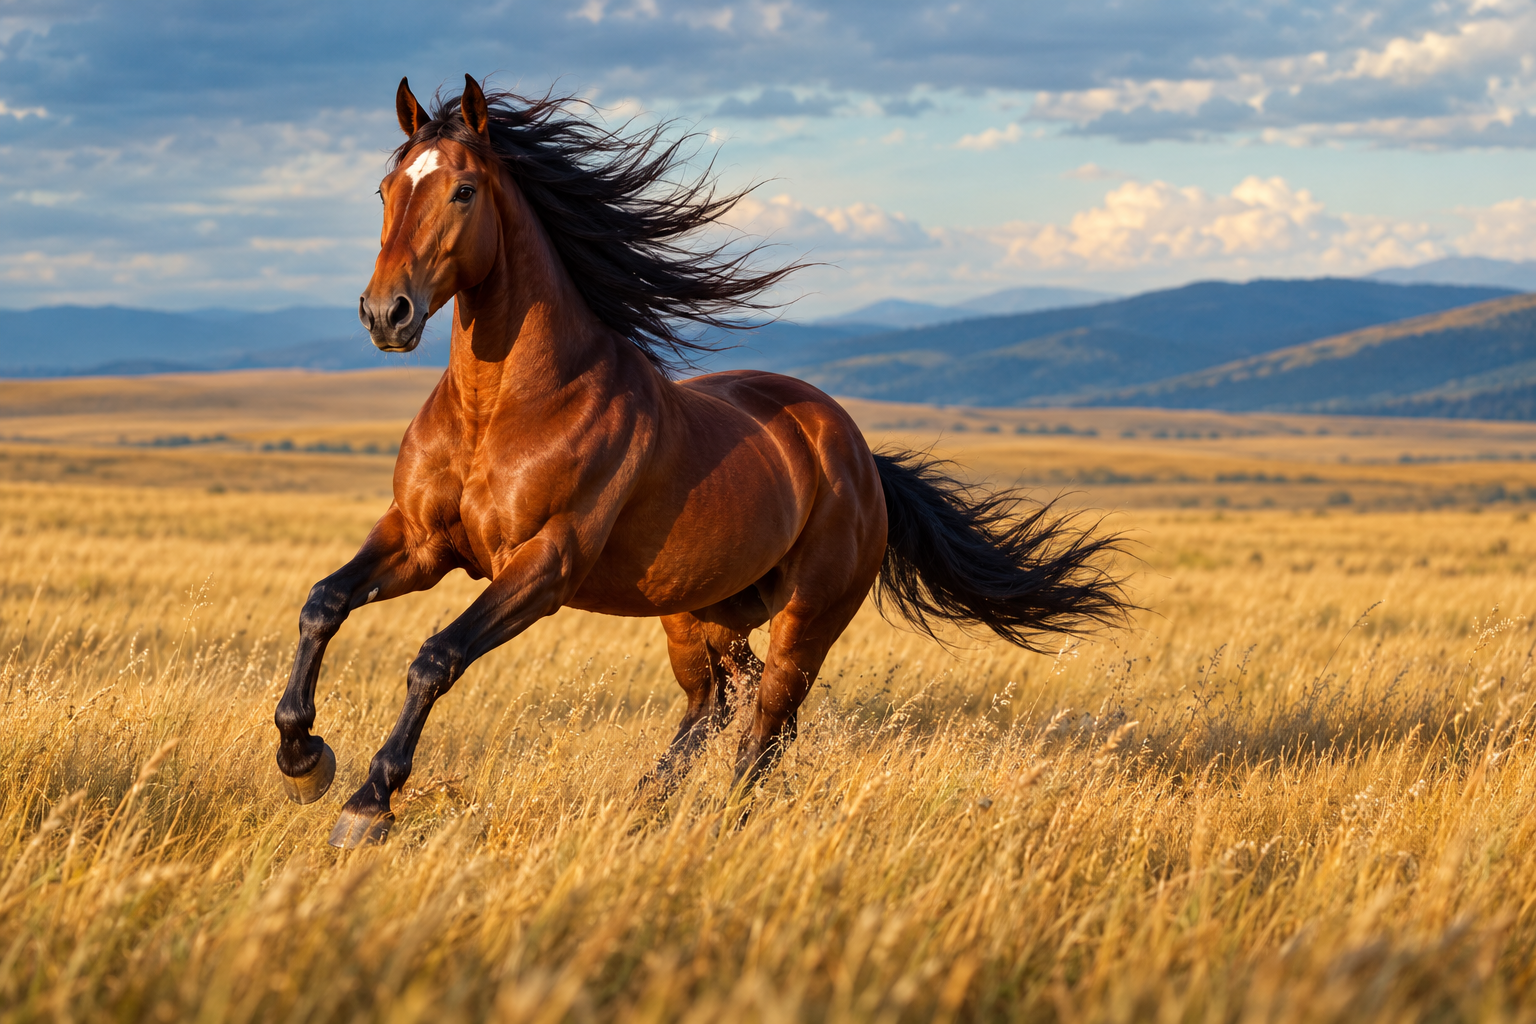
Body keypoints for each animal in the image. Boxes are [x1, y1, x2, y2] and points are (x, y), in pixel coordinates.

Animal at [274, 75, 1129, 848]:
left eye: (463, 190)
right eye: (385, 189)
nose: (386, 314)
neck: (502, 410)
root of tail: (856, 453)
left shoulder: (543, 565)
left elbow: (436, 656)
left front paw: (368, 805)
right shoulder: (421, 542)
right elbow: (323, 603)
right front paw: (302, 756)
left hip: (806, 619)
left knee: (764, 725)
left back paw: (720, 824)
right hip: (698, 612)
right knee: (713, 706)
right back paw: (644, 805)